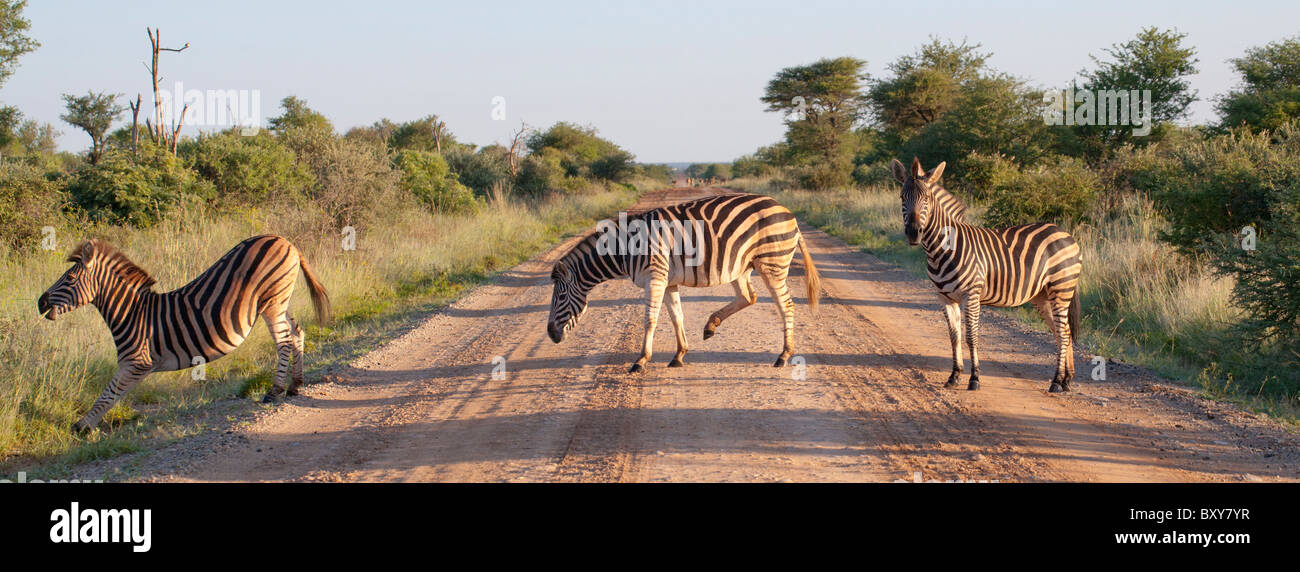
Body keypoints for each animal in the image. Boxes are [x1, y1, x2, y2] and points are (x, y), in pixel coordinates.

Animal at [40, 233, 330, 431]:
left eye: (69, 279)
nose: (40, 302)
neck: (132, 313)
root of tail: (285, 240)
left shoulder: (136, 362)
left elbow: (108, 394)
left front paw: (82, 426)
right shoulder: (134, 364)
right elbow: (110, 394)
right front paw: (85, 425)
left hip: (272, 300)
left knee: (283, 341)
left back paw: (275, 390)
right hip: (280, 301)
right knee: (296, 332)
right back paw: (295, 384)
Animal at [548, 193, 821, 371]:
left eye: (560, 297)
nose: (550, 335)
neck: (625, 250)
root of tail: (788, 212)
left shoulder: (655, 277)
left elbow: (650, 320)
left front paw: (641, 360)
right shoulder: (667, 281)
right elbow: (676, 316)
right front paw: (679, 355)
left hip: (772, 263)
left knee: (786, 305)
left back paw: (784, 355)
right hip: (741, 266)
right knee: (747, 297)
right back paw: (711, 325)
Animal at [894, 157, 1086, 392]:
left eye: (927, 199)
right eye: (902, 197)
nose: (913, 233)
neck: (942, 249)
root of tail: (1065, 233)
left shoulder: (971, 295)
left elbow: (971, 337)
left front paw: (974, 378)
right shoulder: (945, 298)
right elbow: (954, 337)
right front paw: (954, 376)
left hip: (1061, 288)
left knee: (1062, 331)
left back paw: (1056, 382)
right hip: (1042, 296)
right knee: (1064, 332)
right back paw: (1066, 380)